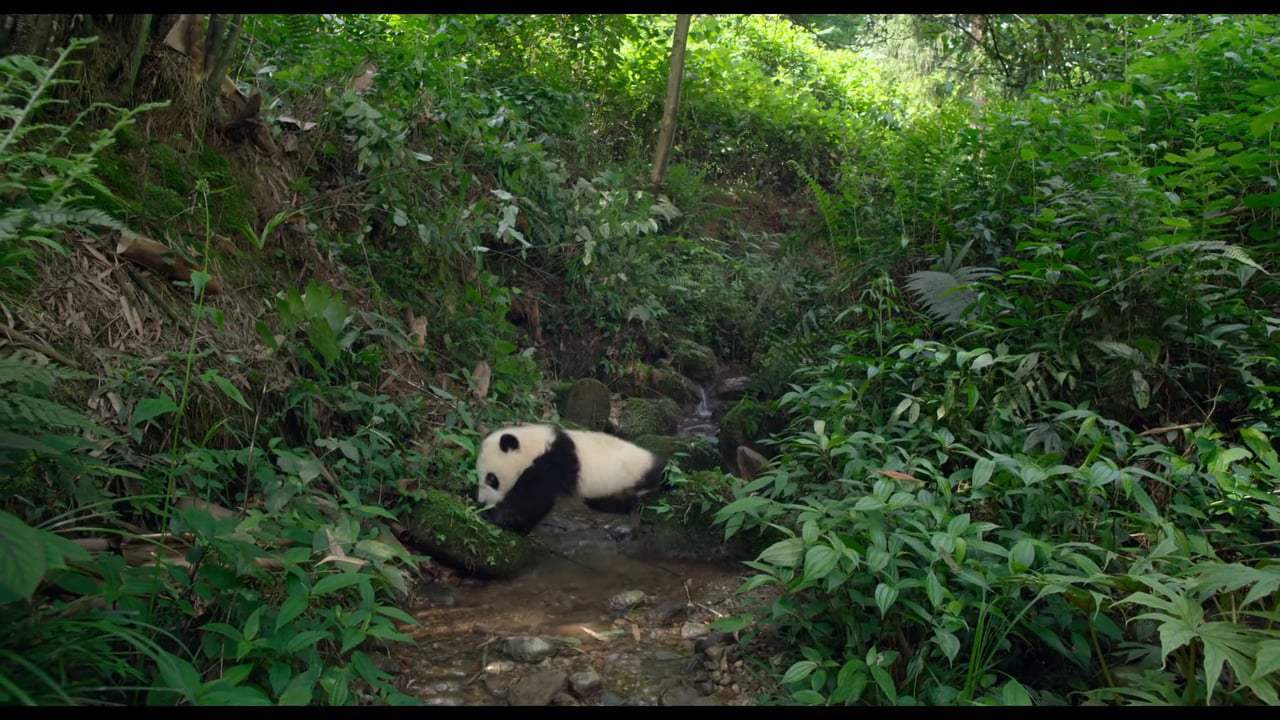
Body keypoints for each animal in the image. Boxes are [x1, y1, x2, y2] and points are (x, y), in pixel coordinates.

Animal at [475, 424, 667, 534]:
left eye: (491, 479)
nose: (482, 501)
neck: (536, 446)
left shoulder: (552, 464)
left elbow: (531, 501)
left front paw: (497, 517)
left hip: (635, 475)